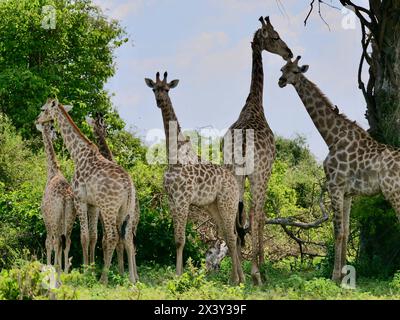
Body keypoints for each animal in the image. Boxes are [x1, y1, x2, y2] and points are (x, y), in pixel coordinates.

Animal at [36, 120, 76, 272]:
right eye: (53, 129)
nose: (56, 136)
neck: (52, 172)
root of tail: (64, 197)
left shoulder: (46, 217)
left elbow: (48, 242)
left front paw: (48, 266)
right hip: (70, 217)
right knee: (67, 241)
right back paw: (65, 271)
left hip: (55, 218)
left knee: (57, 241)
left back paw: (58, 269)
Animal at [144, 72, 244, 282]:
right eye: (154, 89)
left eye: (167, 89)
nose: (159, 101)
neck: (173, 156)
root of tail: (235, 183)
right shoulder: (172, 200)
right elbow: (176, 239)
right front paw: (178, 274)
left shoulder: (183, 199)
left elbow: (181, 240)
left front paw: (179, 275)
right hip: (213, 206)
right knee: (228, 235)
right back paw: (242, 278)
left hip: (227, 202)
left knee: (232, 236)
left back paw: (235, 279)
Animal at [223, 15, 292, 284]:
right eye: (275, 36)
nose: (289, 52)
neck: (254, 104)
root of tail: (242, 142)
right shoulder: (267, 171)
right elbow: (261, 215)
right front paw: (262, 265)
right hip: (257, 174)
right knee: (254, 212)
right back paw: (255, 273)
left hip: (233, 173)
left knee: (234, 215)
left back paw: (237, 275)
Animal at [278, 56, 400, 282]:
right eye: (282, 69)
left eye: (296, 71)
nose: (281, 81)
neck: (331, 137)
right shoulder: (348, 192)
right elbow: (345, 230)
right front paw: (345, 274)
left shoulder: (334, 186)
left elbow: (337, 231)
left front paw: (335, 276)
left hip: (393, 191)